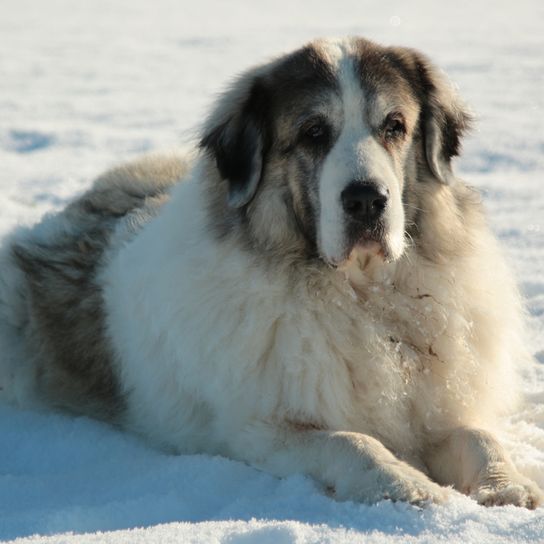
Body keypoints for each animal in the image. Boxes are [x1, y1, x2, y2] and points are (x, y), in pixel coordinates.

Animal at [1, 37, 544, 506]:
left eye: (394, 126)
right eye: (313, 133)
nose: (366, 199)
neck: (362, 297)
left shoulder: (438, 406)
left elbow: (477, 436)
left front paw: (508, 485)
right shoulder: (260, 431)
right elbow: (351, 441)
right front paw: (406, 484)